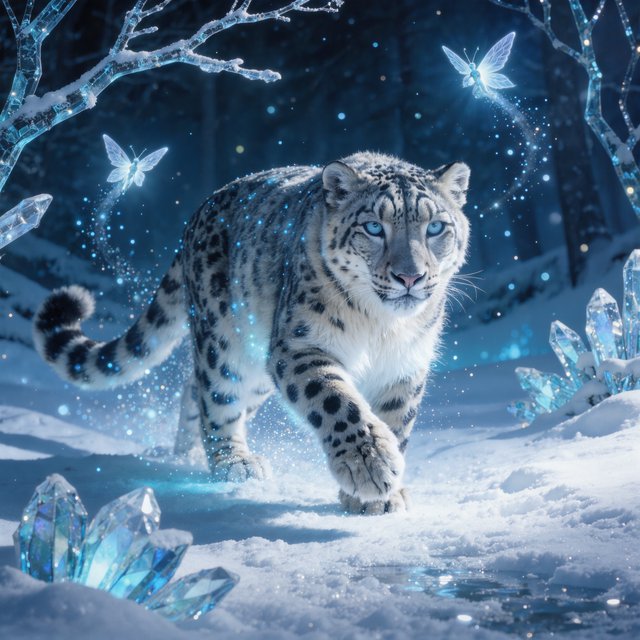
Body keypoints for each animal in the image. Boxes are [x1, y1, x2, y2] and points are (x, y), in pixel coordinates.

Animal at [33, 152, 470, 514]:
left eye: (435, 227)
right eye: (373, 227)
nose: (410, 276)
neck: (381, 327)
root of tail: (198, 212)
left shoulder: (406, 365)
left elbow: (396, 420)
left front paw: (382, 494)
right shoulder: (300, 344)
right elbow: (337, 402)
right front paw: (369, 465)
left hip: (258, 363)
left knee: (193, 390)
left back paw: (185, 454)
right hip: (226, 342)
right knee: (216, 394)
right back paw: (234, 462)